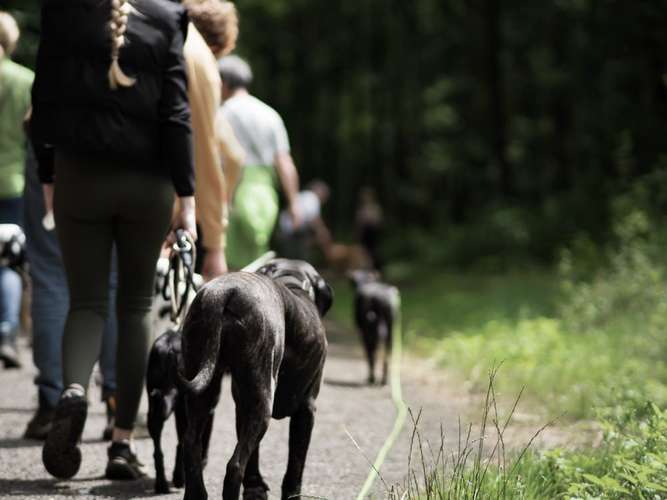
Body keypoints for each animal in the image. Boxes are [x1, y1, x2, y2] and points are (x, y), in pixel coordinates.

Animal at [179, 260, 332, 500]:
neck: (291, 280)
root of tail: (224, 292)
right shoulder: (306, 410)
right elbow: (295, 465)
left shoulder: (242, 405)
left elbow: (255, 457)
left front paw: (255, 488)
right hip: (262, 404)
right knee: (235, 465)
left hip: (204, 394)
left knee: (191, 445)